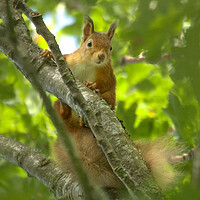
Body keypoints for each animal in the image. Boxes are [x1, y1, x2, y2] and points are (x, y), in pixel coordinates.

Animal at [42, 16, 184, 189]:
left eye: (110, 48)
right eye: (89, 44)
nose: (101, 56)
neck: (88, 64)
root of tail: (73, 129)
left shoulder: (107, 74)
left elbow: (105, 85)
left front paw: (93, 86)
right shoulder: (69, 60)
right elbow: (63, 57)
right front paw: (48, 52)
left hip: (108, 99)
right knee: (61, 114)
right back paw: (63, 107)